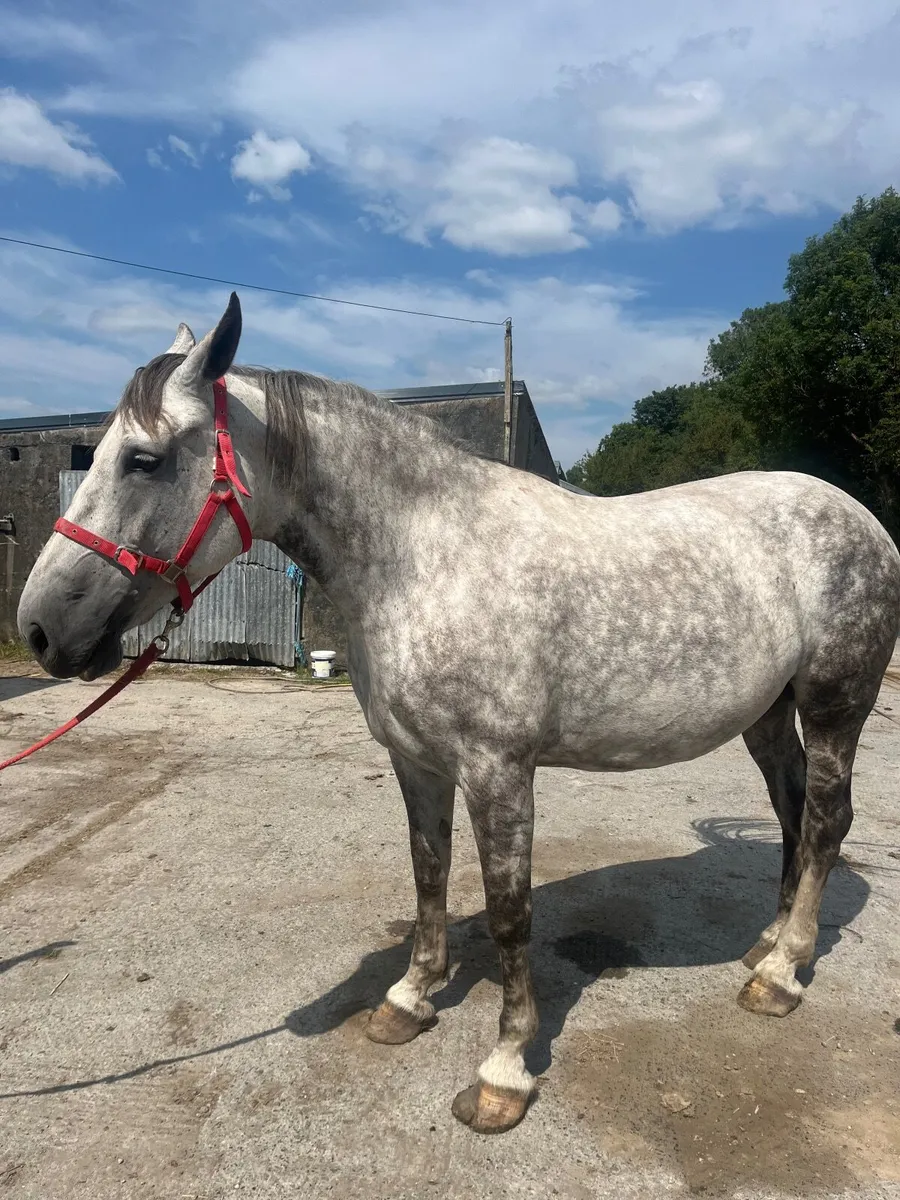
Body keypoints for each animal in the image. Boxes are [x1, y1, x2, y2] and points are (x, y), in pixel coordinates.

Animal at [17, 293, 900, 1135]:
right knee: (790, 812)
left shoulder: (497, 771)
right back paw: (768, 946)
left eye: (145, 459)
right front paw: (409, 1000)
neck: (423, 559)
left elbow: (510, 914)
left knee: (826, 820)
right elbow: (429, 874)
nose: (41, 629)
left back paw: (782, 976)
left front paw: (504, 1070)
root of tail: (863, 520)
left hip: (835, 709)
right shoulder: (417, 761)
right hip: (768, 716)